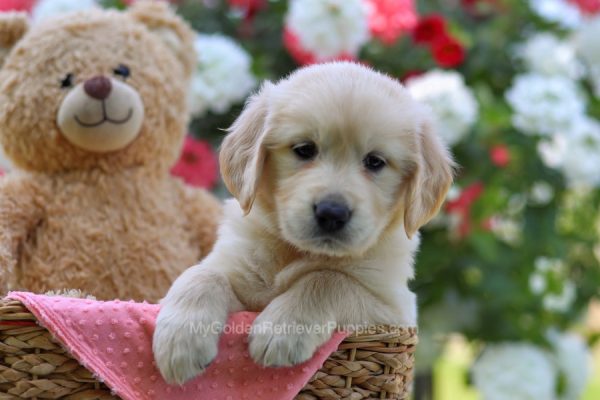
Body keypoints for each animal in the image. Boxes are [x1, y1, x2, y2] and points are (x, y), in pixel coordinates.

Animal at [152, 61, 452, 384]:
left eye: (375, 162)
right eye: (305, 149)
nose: (332, 212)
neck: (295, 251)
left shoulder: (393, 312)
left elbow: (328, 279)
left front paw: (281, 330)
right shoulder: (238, 275)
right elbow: (202, 273)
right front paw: (180, 340)